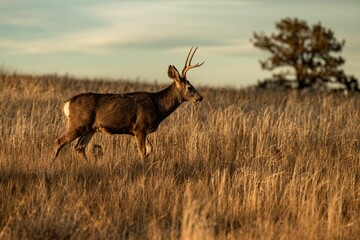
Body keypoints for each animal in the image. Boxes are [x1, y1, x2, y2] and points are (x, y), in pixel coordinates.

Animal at [52, 46, 205, 161]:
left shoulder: (141, 130)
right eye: (189, 87)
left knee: (79, 147)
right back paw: (53, 163)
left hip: (90, 129)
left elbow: (150, 149)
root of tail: (67, 104)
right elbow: (143, 152)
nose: (200, 97)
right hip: (78, 124)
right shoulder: (140, 127)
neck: (157, 105)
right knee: (59, 141)